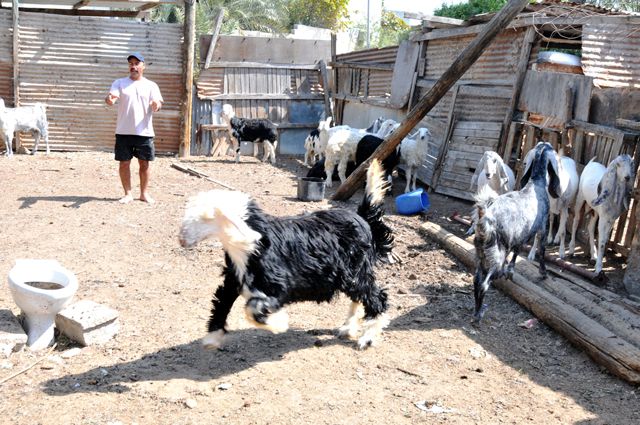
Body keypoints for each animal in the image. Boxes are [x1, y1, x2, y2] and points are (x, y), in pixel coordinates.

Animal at [178, 158, 392, 348]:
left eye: (207, 217)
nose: (181, 239)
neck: (251, 243)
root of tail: (363, 220)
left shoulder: (279, 285)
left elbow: (253, 308)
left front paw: (278, 324)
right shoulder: (233, 280)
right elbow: (221, 303)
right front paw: (212, 338)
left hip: (355, 272)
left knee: (377, 298)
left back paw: (367, 338)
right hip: (350, 275)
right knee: (360, 298)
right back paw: (347, 329)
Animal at [470, 141, 560, 320]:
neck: (536, 184)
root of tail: (486, 218)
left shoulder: (521, 235)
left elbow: (517, 251)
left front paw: (510, 271)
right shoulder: (542, 228)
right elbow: (541, 250)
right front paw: (543, 272)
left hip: (481, 254)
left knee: (476, 280)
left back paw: (477, 310)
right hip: (495, 255)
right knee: (484, 284)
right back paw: (479, 314)